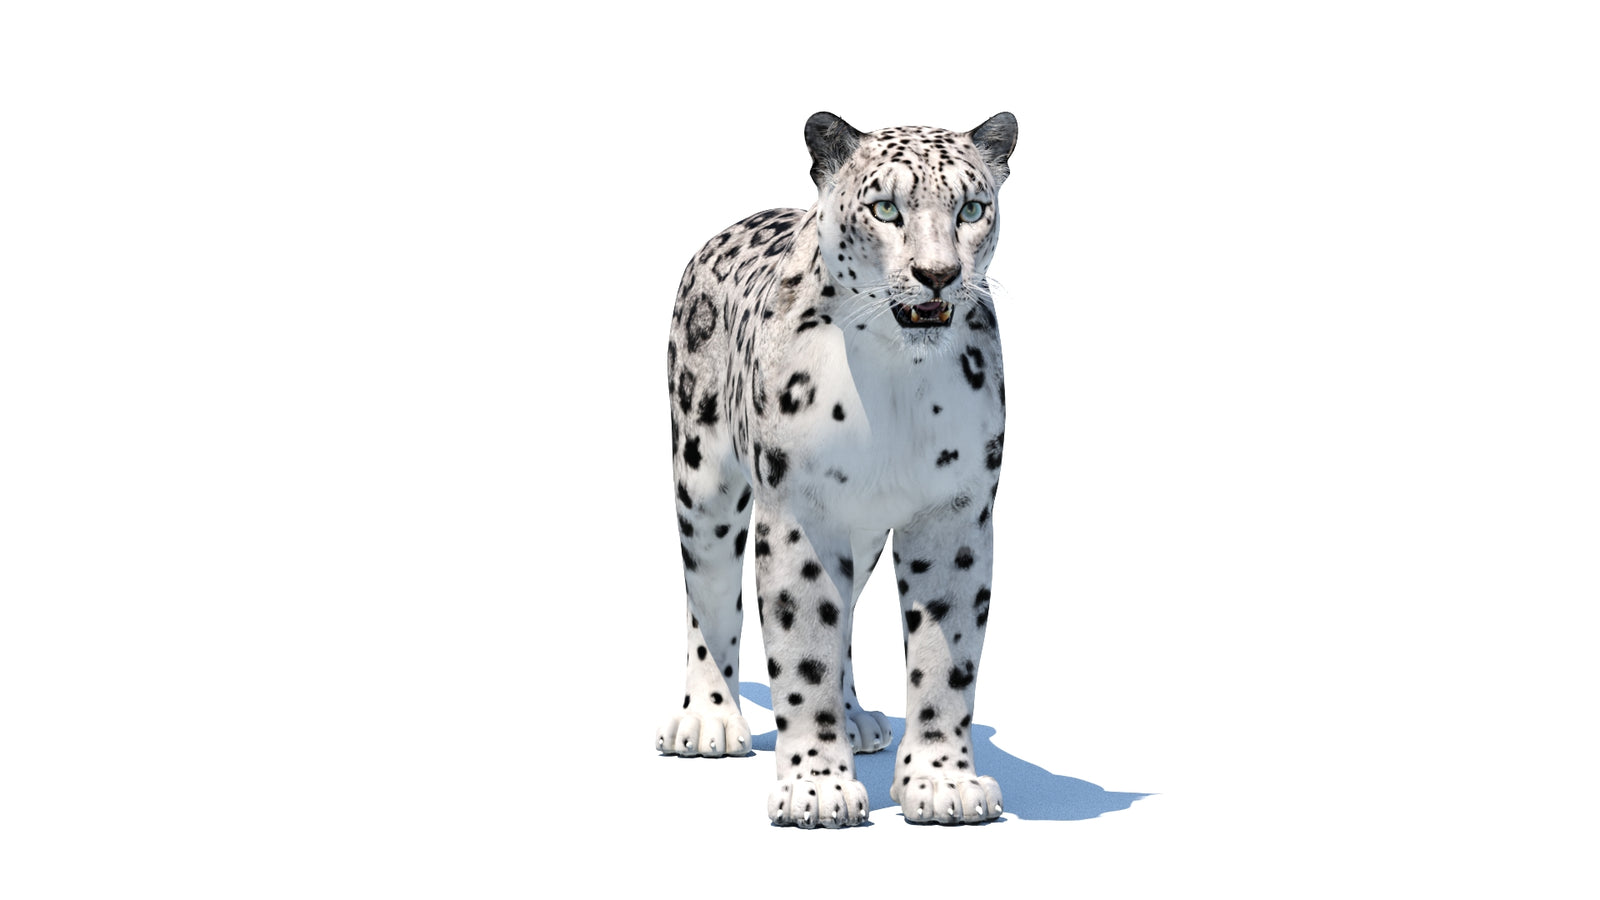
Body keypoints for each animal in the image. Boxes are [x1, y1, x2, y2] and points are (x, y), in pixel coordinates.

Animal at [659, 111, 1017, 828]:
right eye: (886, 209)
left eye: (971, 208)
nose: (938, 274)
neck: (895, 383)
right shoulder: (799, 507)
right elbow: (802, 650)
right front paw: (816, 788)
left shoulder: (957, 512)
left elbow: (947, 656)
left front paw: (944, 782)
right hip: (702, 481)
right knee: (707, 593)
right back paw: (708, 721)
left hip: (862, 534)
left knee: (845, 611)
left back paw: (856, 718)